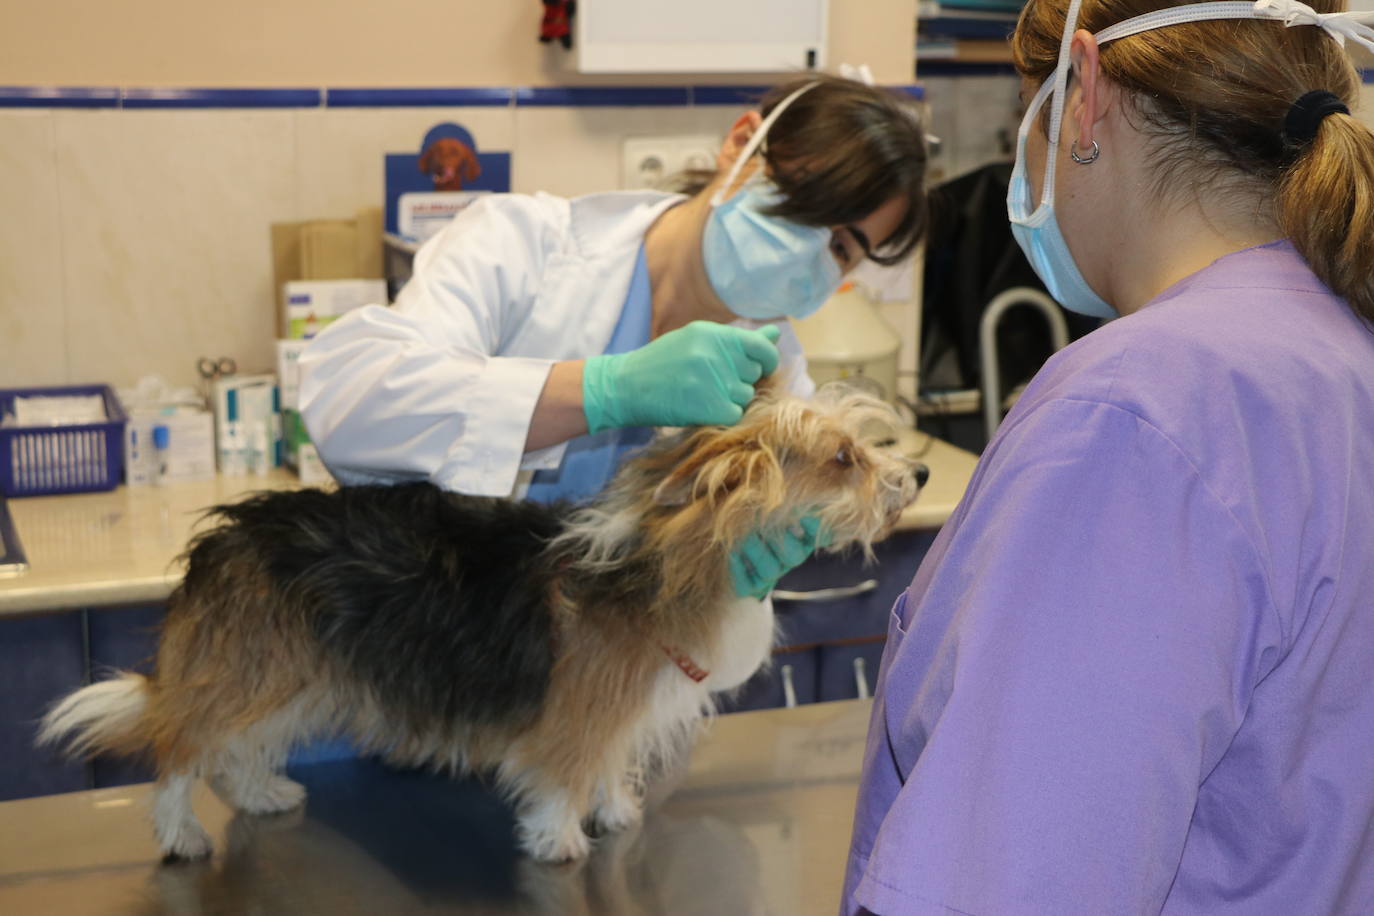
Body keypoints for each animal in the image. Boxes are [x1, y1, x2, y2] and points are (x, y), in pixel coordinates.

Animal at [42, 384, 928, 867]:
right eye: (843, 458)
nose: (918, 473)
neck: (657, 559)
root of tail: (225, 536)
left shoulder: (621, 708)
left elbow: (608, 764)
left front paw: (615, 812)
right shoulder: (576, 712)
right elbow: (565, 773)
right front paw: (560, 839)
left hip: (296, 676)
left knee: (235, 752)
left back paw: (260, 792)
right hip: (250, 671)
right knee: (181, 751)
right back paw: (179, 831)